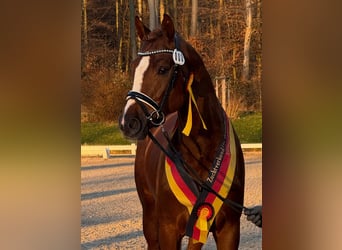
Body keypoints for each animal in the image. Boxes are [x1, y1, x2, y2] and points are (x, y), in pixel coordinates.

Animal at [119, 14, 244, 250]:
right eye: (134, 67)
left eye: (163, 68)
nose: (128, 122)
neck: (202, 149)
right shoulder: (168, 229)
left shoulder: (229, 230)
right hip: (150, 220)